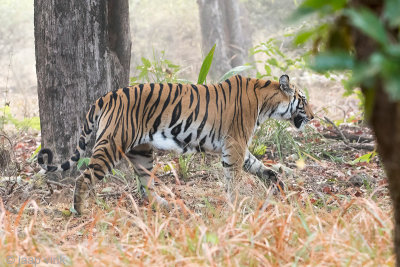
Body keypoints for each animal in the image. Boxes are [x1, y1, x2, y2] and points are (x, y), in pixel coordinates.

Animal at [37, 75, 314, 216]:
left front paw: (278, 185)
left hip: (142, 152)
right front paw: (235, 205)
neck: (267, 102)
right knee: (83, 177)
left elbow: (260, 168)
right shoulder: (235, 145)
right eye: (303, 100)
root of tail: (107, 95)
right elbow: (233, 178)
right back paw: (79, 211)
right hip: (111, 145)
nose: (313, 116)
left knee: (145, 185)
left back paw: (164, 205)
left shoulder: (239, 148)